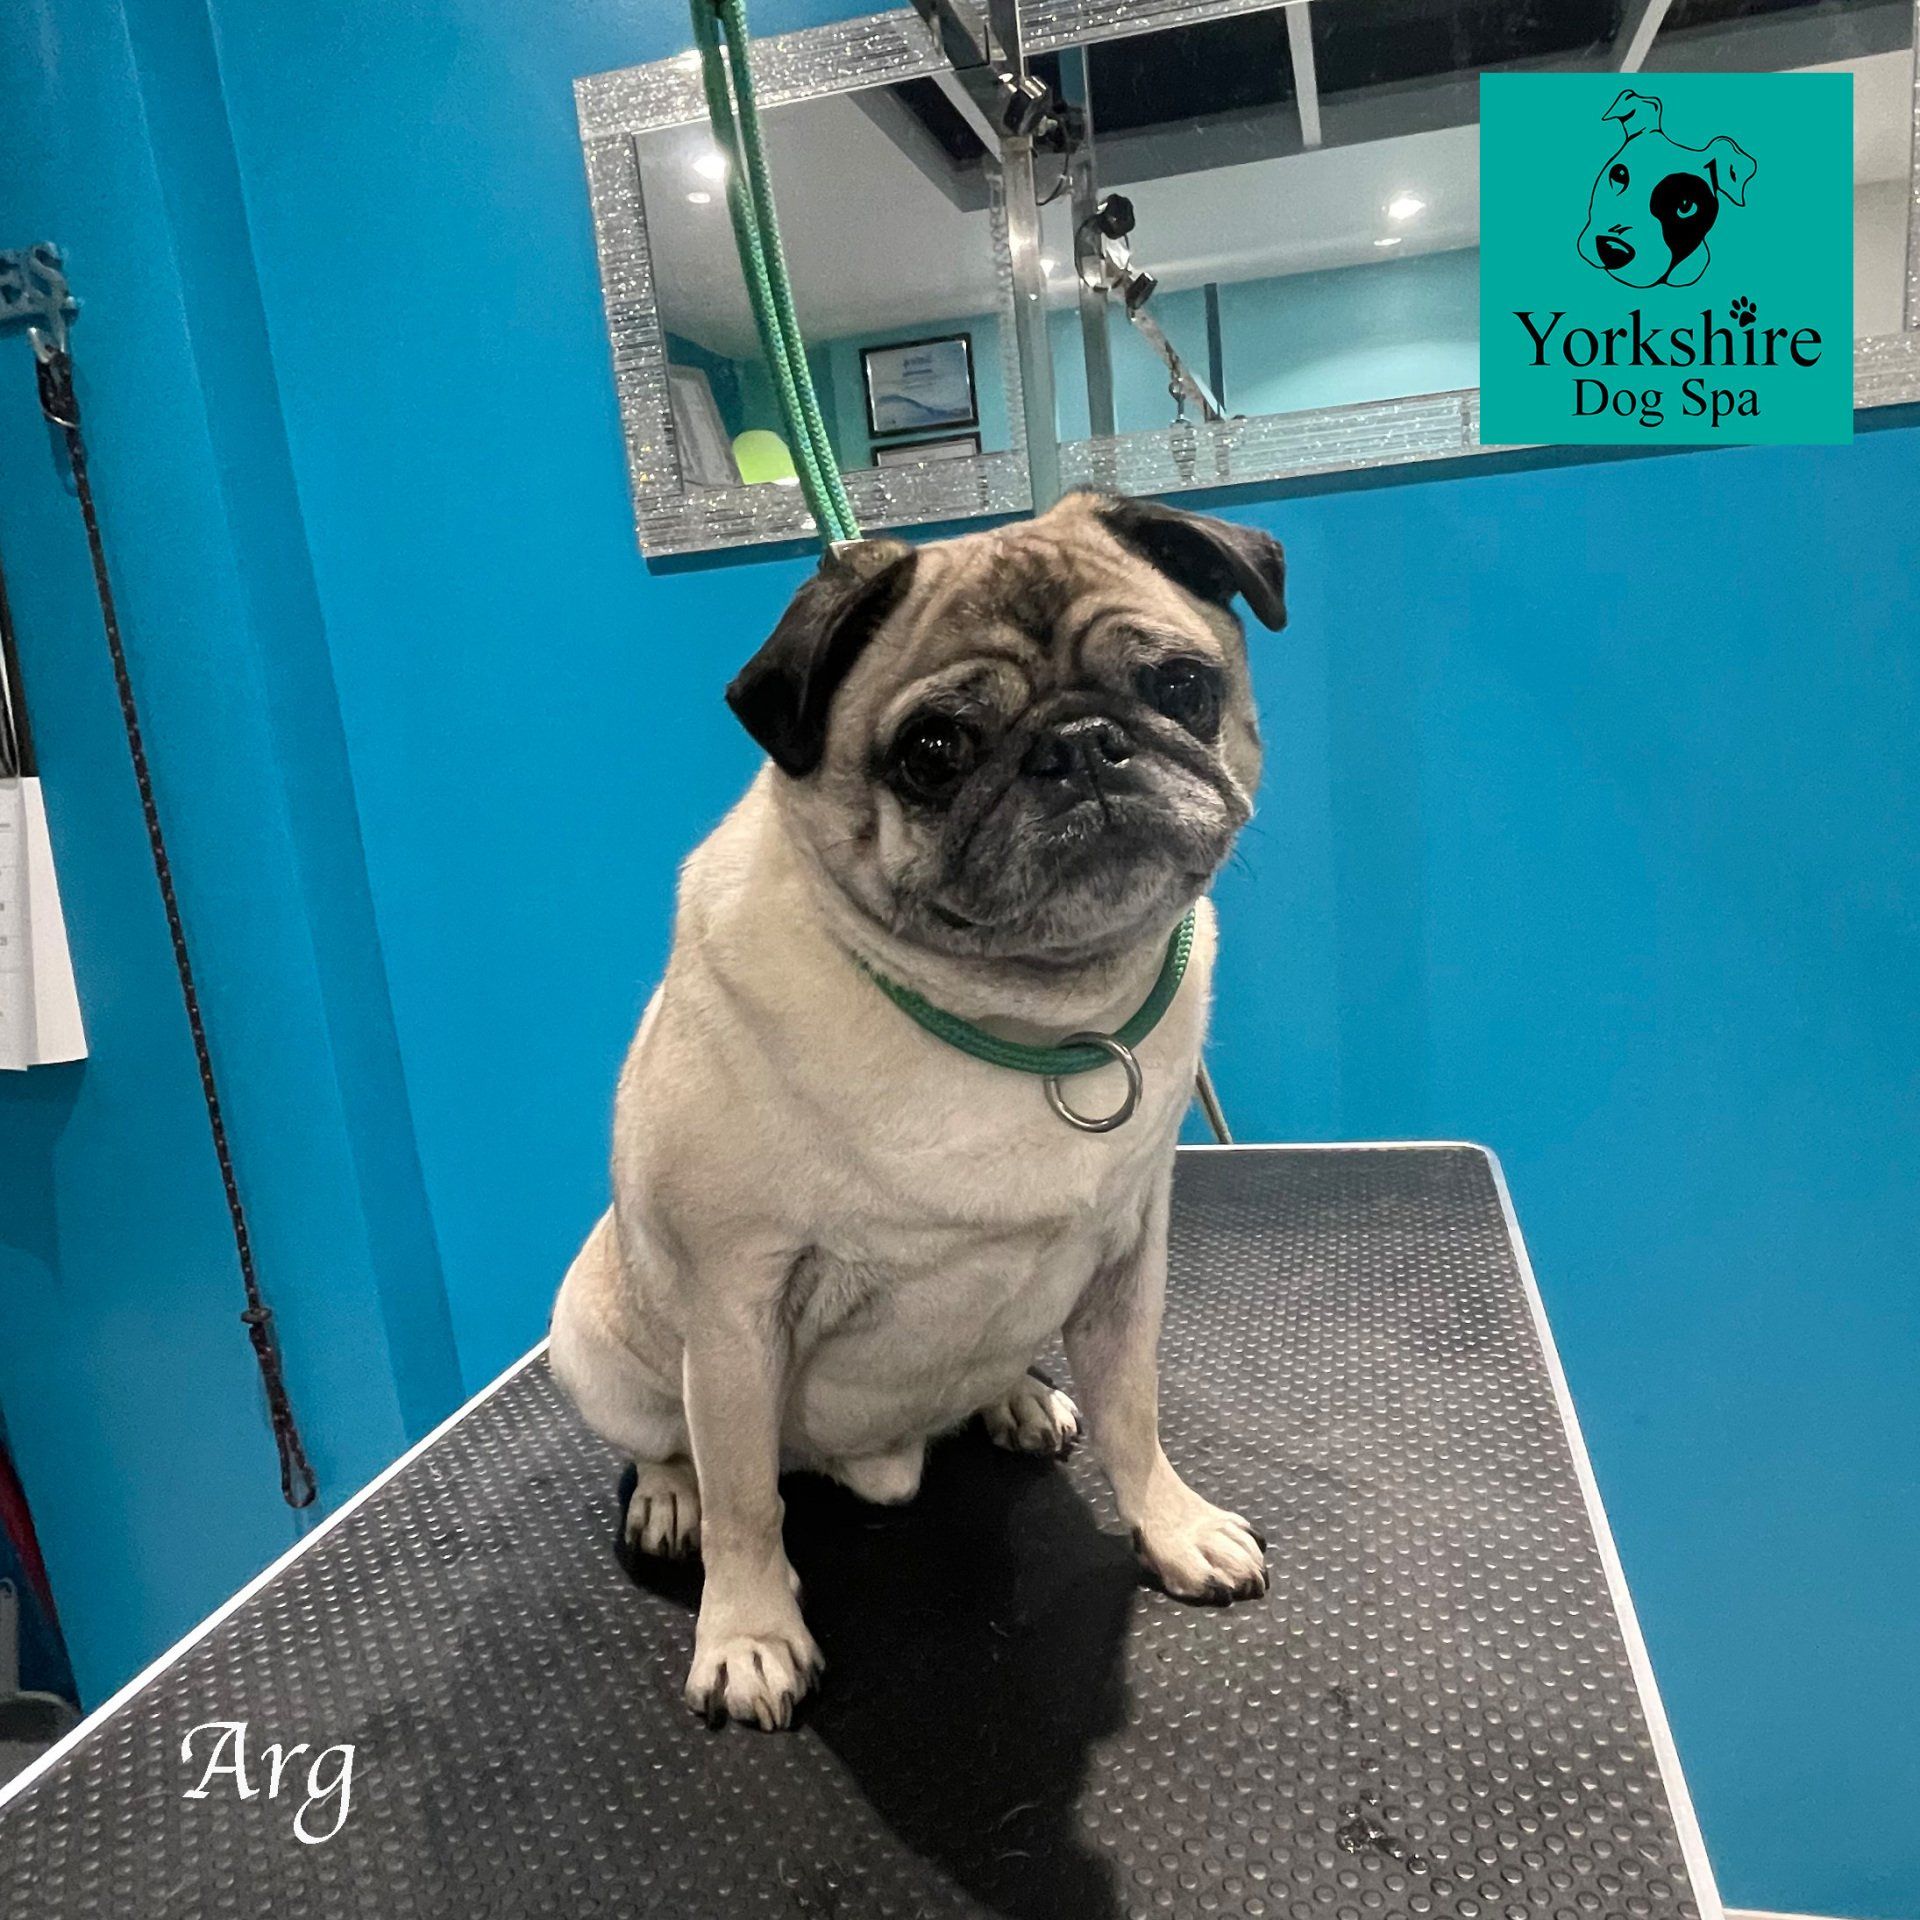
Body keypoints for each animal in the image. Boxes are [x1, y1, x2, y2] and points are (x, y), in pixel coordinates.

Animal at [550, 489, 1285, 1729]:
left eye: (1180, 686)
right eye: (934, 752)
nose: (1079, 744)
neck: (1035, 1022)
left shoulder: (1128, 1260)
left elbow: (1133, 1414)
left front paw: (1172, 1527)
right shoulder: (737, 1312)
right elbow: (747, 1498)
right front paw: (748, 1633)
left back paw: (1017, 1398)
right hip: (597, 1345)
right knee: (677, 1447)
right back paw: (668, 1497)